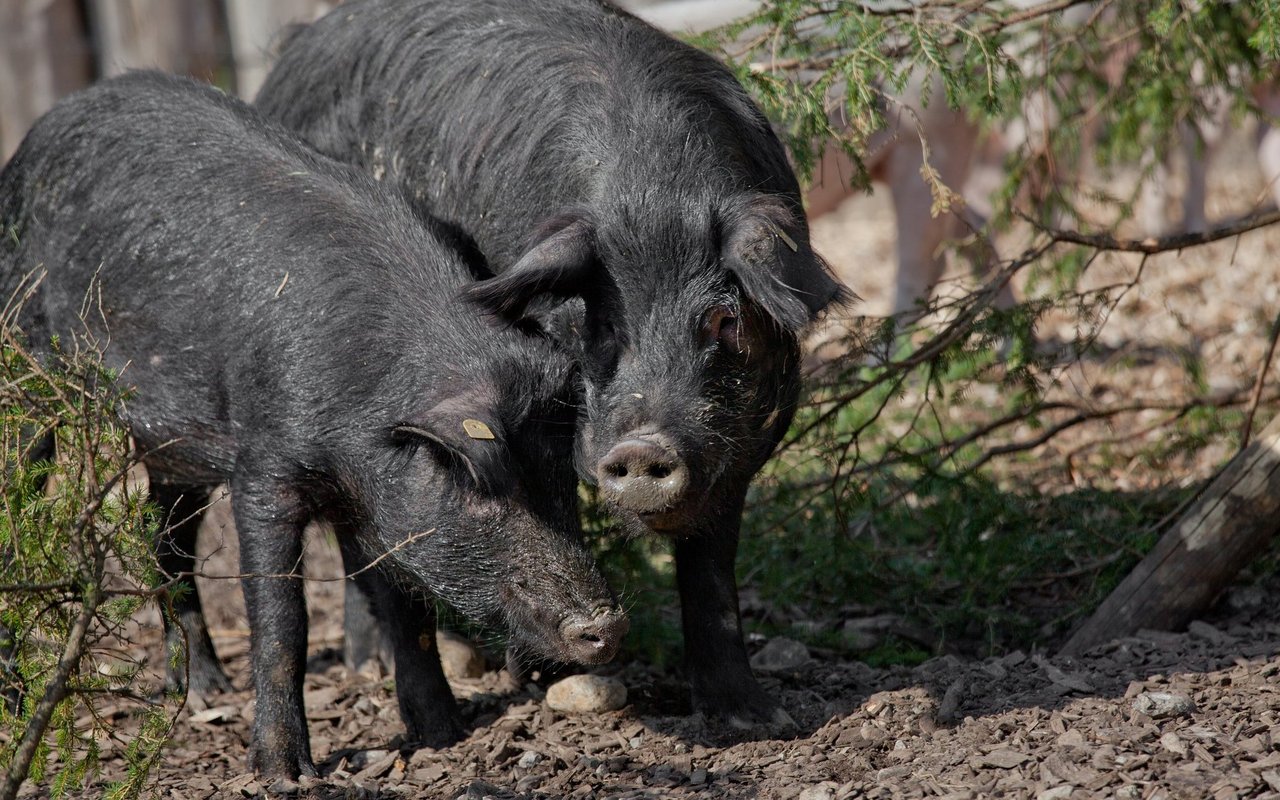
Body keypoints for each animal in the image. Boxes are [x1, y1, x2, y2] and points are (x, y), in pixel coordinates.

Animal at [254, 0, 844, 727]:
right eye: (601, 321)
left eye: (723, 321)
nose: (642, 446)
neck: (654, 188)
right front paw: (551, 676)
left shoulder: (745, 439)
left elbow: (710, 565)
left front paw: (752, 720)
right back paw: (381, 664)